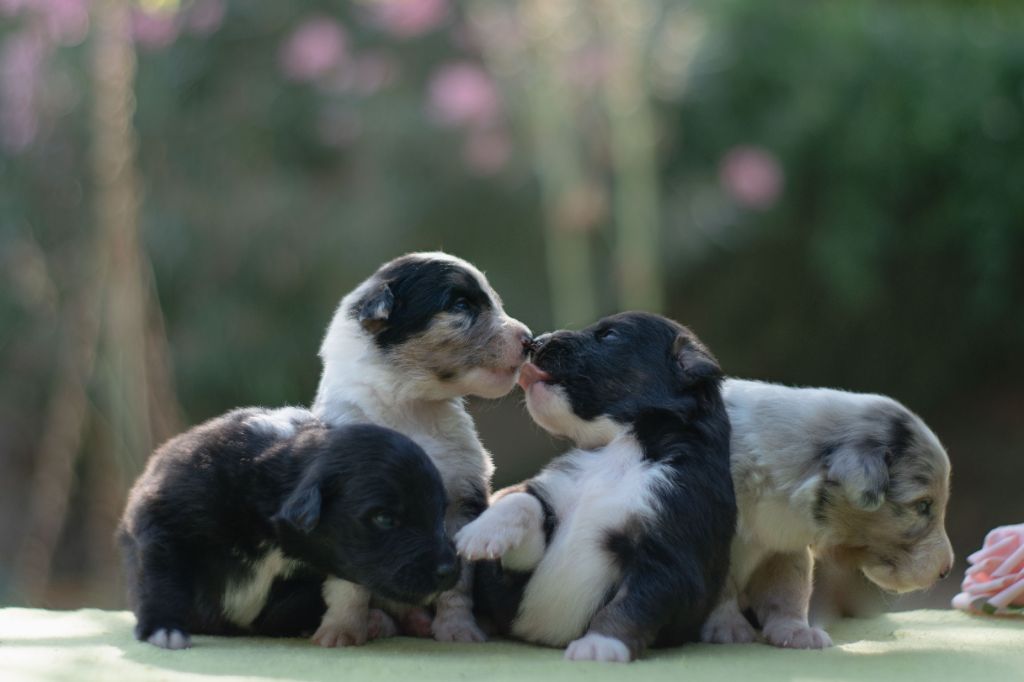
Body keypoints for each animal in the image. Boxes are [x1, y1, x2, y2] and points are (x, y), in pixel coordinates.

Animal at [117, 408, 457, 649]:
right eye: (385, 519)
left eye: (441, 514)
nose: (449, 571)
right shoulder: (167, 512)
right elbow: (160, 575)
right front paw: (163, 628)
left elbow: (341, 587)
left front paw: (342, 627)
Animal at [311, 252, 532, 642]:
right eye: (460, 305)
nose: (530, 340)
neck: (411, 406)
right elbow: (347, 583)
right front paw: (340, 631)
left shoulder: (461, 498)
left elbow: (457, 579)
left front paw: (458, 631)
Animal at [455, 312, 737, 662]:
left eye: (609, 335)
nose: (535, 342)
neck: (620, 448)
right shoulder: (518, 565)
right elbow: (523, 502)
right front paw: (482, 533)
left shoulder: (668, 553)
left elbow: (631, 605)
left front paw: (600, 645)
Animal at [700, 379, 954, 649]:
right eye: (923, 506)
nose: (946, 570)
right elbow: (723, 588)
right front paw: (728, 627)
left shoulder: (783, 544)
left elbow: (787, 588)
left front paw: (795, 631)